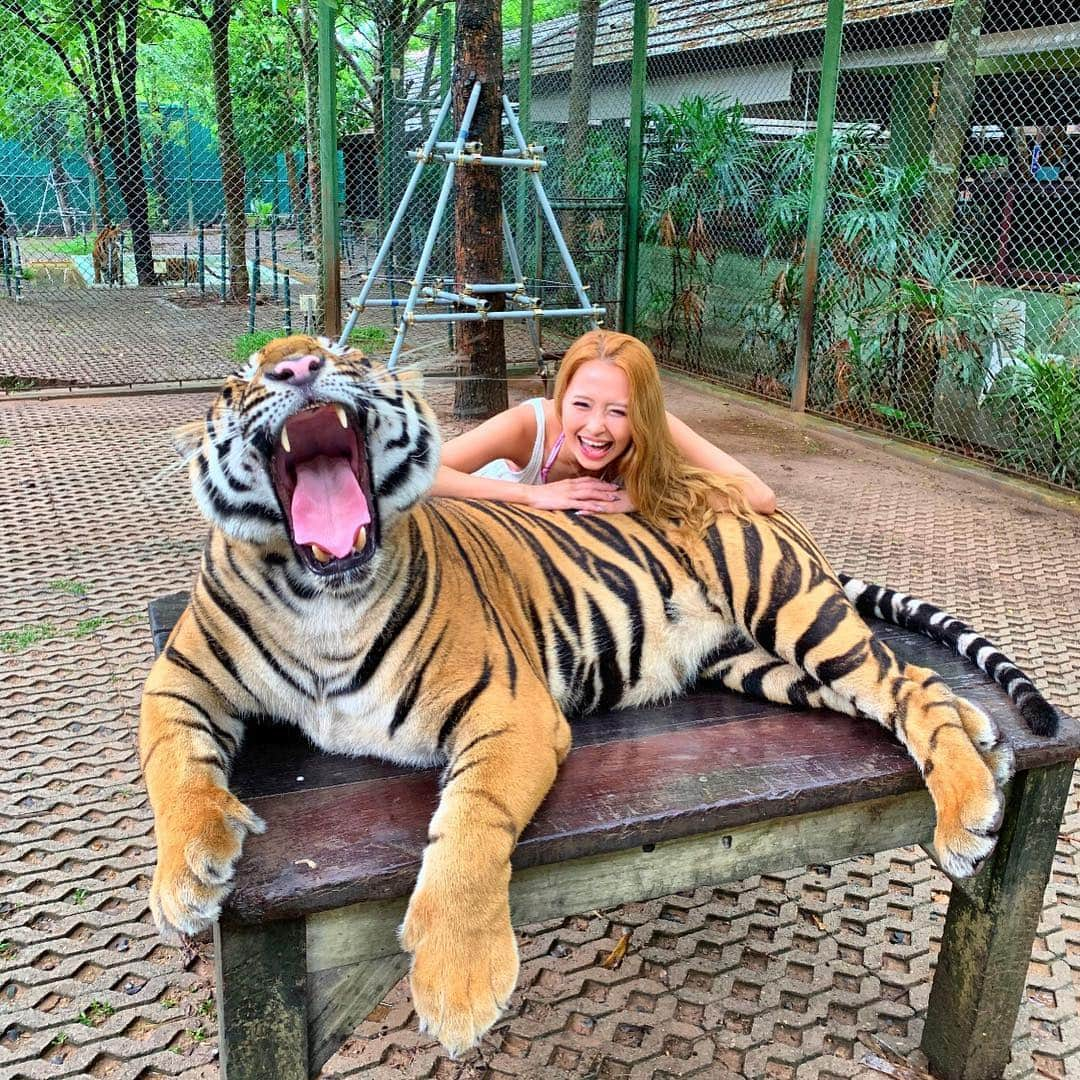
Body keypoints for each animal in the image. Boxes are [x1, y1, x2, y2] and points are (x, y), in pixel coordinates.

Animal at [139, 334, 1058, 1054]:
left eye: (346, 355)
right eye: (239, 380)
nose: (295, 367)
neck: (324, 593)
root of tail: (740, 494)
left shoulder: (509, 711)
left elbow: (469, 827)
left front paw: (459, 985)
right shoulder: (181, 679)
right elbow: (170, 766)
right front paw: (185, 879)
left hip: (793, 609)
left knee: (905, 680)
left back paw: (969, 813)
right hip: (760, 665)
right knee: (914, 683)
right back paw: (980, 738)